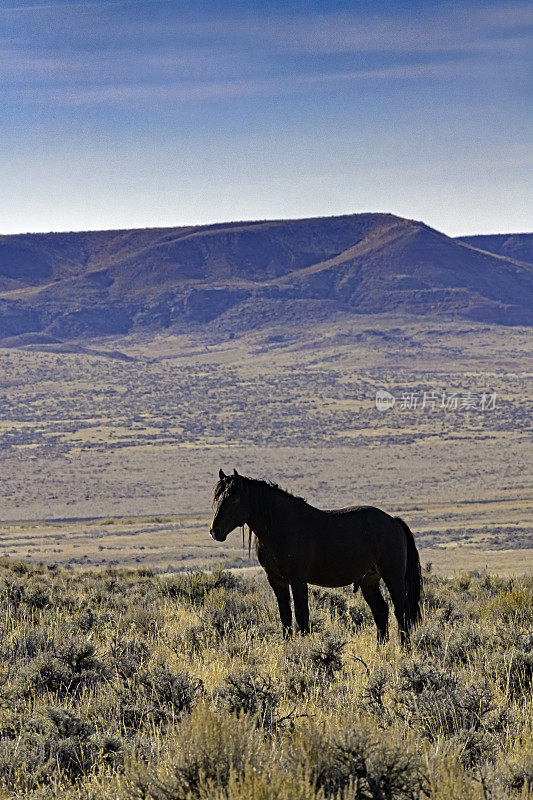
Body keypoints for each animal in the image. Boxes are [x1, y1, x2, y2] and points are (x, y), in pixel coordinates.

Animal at [210, 468, 422, 644]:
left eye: (234, 499)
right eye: (217, 498)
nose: (215, 531)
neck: (282, 526)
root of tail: (393, 521)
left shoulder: (297, 579)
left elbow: (302, 617)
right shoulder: (277, 580)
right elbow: (285, 617)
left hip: (393, 576)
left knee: (401, 612)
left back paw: (404, 649)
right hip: (369, 580)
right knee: (381, 611)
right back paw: (381, 648)